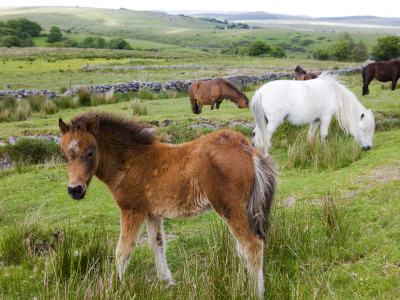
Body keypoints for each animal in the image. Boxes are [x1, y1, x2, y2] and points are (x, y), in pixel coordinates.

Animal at [58, 110, 276, 298]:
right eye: (63, 155)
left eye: (91, 152)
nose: (74, 190)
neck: (130, 163)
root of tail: (245, 148)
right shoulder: (152, 213)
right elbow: (157, 245)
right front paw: (167, 282)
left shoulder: (132, 210)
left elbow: (123, 250)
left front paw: (111, 287)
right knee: (244, 247)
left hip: (230, 207)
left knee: (252, 245)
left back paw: (254, 292)